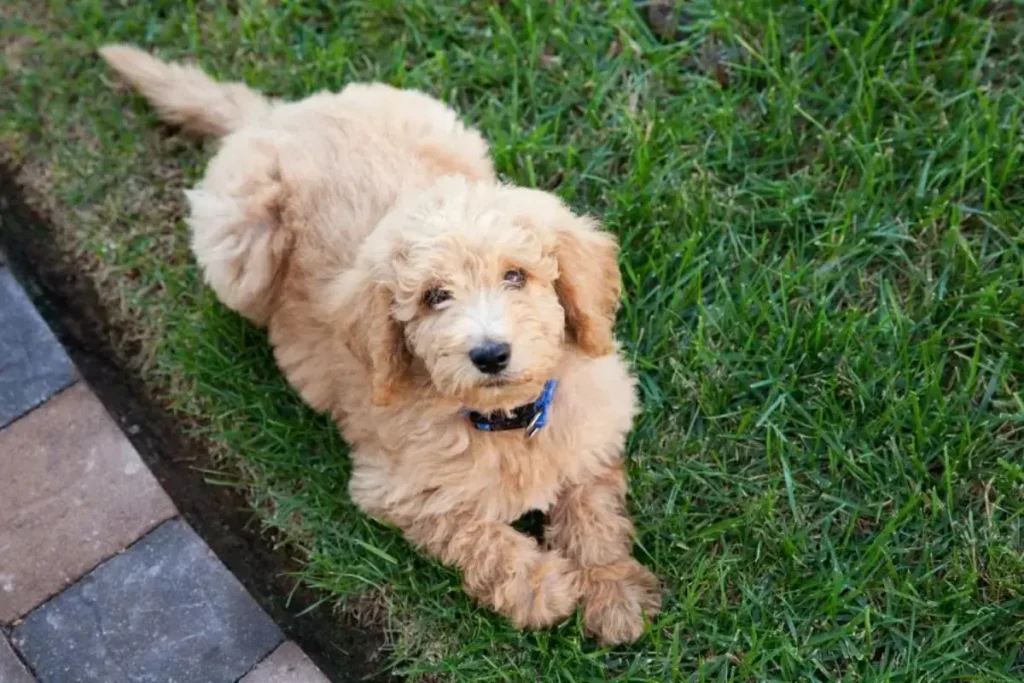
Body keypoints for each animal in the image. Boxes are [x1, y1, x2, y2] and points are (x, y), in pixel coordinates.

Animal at [99, 45, 659, 643]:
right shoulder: (397, 487)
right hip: (238, 246)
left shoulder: (594, 432)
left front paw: (614, 592)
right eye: (435, 297)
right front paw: (539, 586)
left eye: (516, 276)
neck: (506, 421)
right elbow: (472, 531)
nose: (490, 355)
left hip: (448, 132)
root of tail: (273, 117)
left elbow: (594, 511)